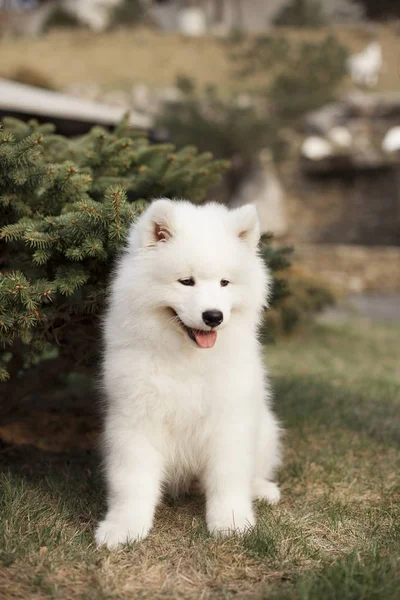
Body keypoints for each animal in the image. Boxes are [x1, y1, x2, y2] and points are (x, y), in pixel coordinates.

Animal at [95, 198, 282, 548]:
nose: (213, 316)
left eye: (224, 282)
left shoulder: (229, 420)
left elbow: (229, 477)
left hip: (265, 428)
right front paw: (124, 528)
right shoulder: (136, 420)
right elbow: (131, 481)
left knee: (254, 471)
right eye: (186, 282)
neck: (188, 357)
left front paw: (231, 522)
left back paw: (263, 490)